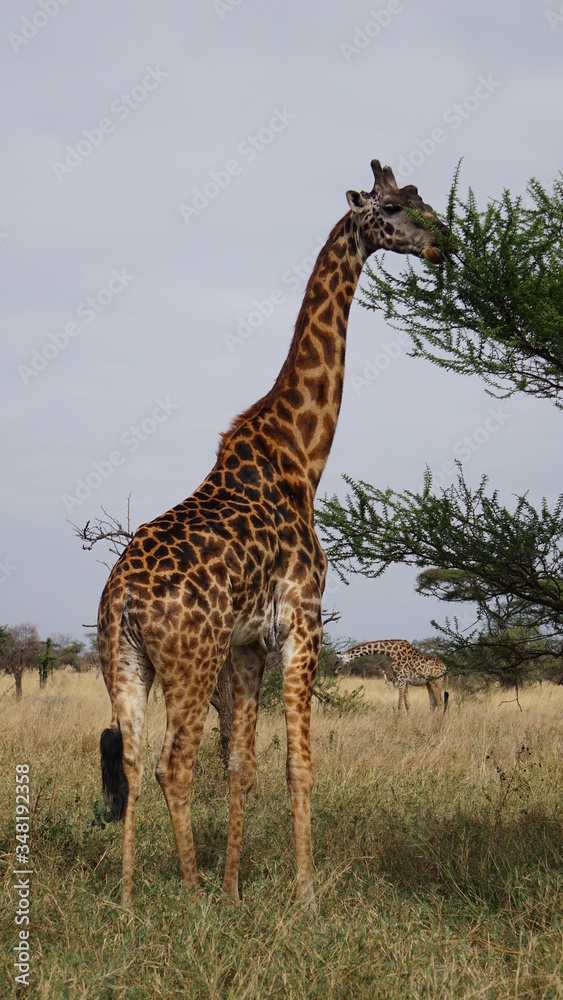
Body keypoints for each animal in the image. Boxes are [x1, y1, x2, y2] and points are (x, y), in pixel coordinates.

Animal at [97, 159, 446, 910]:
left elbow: (242, 765)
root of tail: (122, 601)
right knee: (171, 764)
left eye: (424, 202)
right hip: (189, 658)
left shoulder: (249, 642)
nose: (442, 244)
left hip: (126, 662)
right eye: (391, 209)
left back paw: (132, 898)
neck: (302, 458)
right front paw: (304, 895)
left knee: (133, 761)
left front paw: (236, 890)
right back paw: (190, 892)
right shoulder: (302, 620)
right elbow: (298, 765)